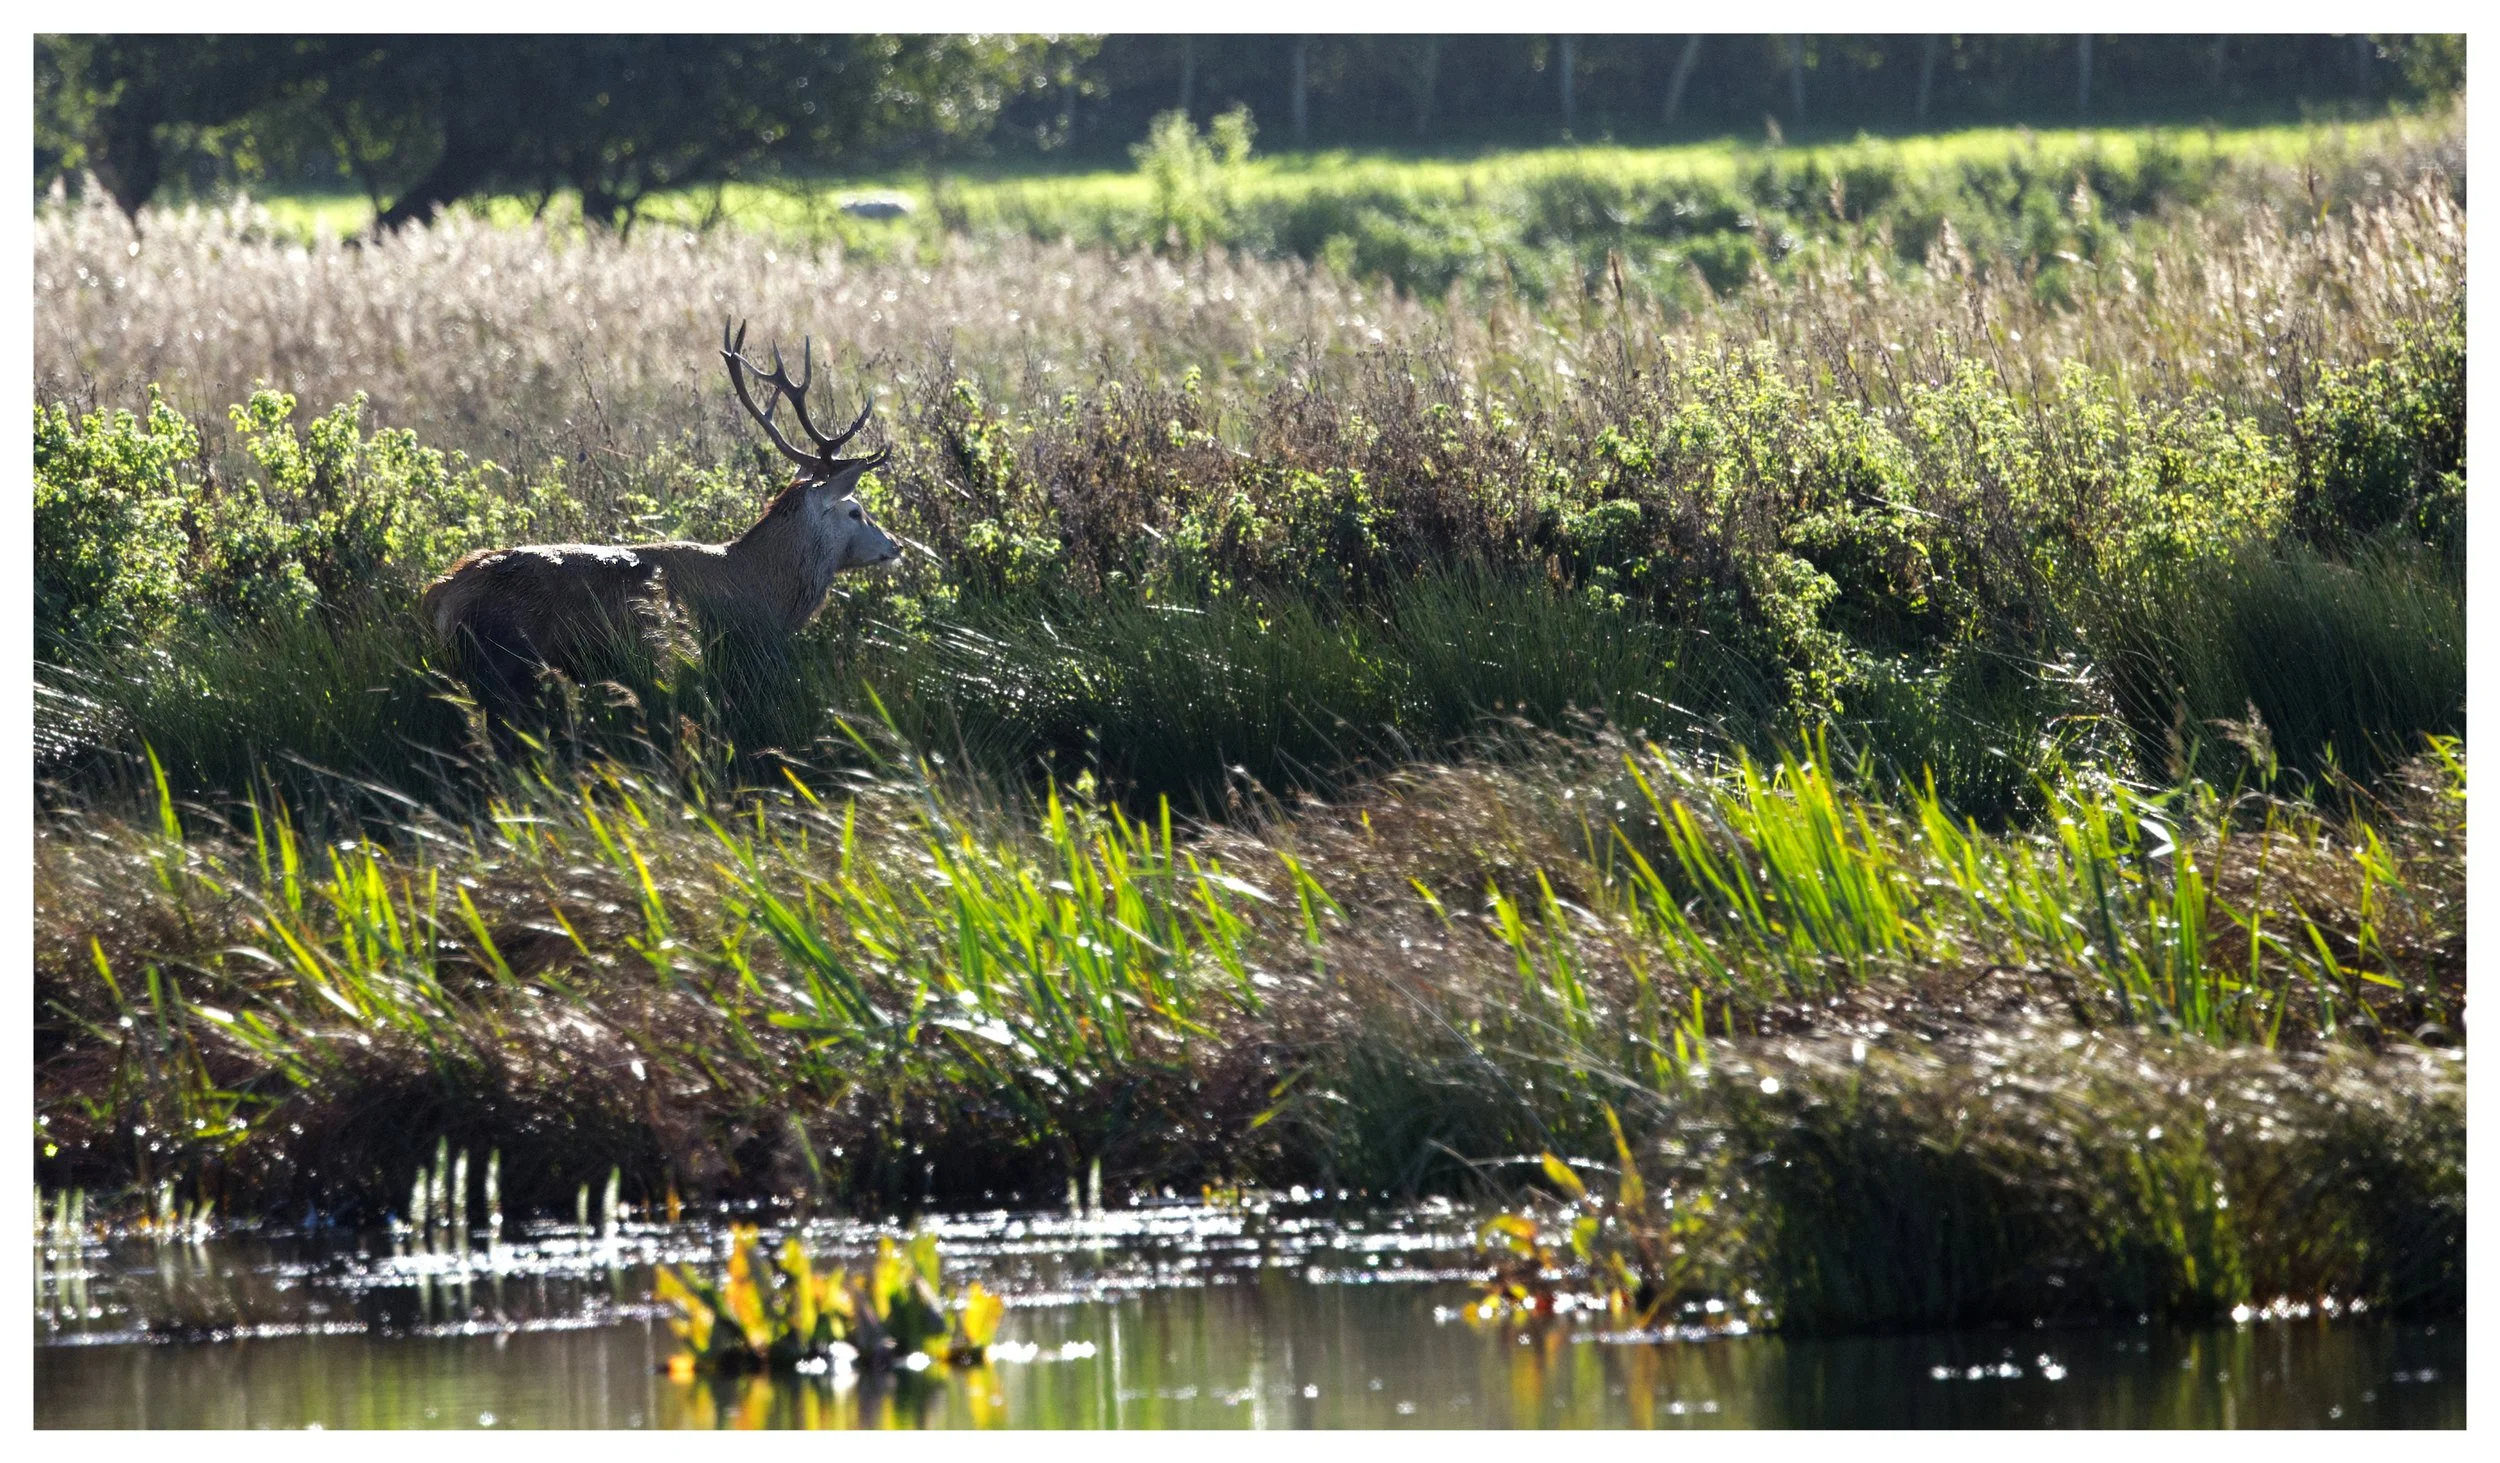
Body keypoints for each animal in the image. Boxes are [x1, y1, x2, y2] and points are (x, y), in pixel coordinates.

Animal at [422, 319, 902, 708]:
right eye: (856, 511)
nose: (894, 546)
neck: (761, 587)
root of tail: (440, 596)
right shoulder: (734, 650)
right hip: (506, 660)